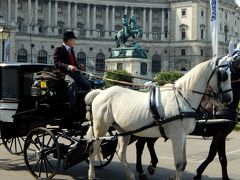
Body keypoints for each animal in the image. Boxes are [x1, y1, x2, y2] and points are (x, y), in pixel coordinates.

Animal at [85, 58, 232, 179]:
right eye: (224, 76)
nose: (228, 99)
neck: (182, 98)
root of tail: (101, 92)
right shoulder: (177, 136)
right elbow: (179, 164)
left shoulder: (183, 136)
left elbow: (184, 163)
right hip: (101, 128)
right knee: (94, 149)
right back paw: (91, 175)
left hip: (123, 129)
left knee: (120, 152)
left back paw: (131, 175)